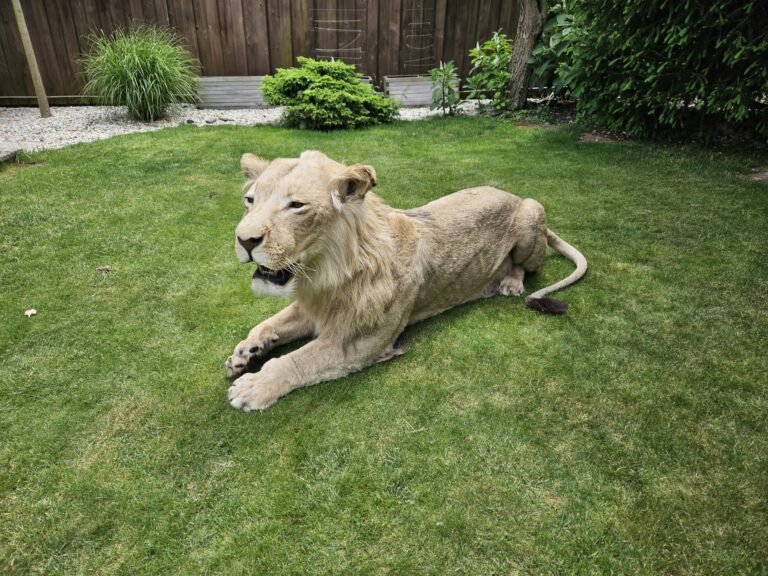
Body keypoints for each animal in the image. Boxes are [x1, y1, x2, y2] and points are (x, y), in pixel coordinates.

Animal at [225, 151, 587, 411]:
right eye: (250, 200)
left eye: (297, 205)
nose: (244, 240)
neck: (326, 274)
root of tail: (513, 195)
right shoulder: (315, 306)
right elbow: (270, 322)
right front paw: (246, 352)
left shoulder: (362, 342)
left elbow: (298, 360)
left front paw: (253, 386)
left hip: (530, 213)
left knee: (524, 265)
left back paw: (510, 282)